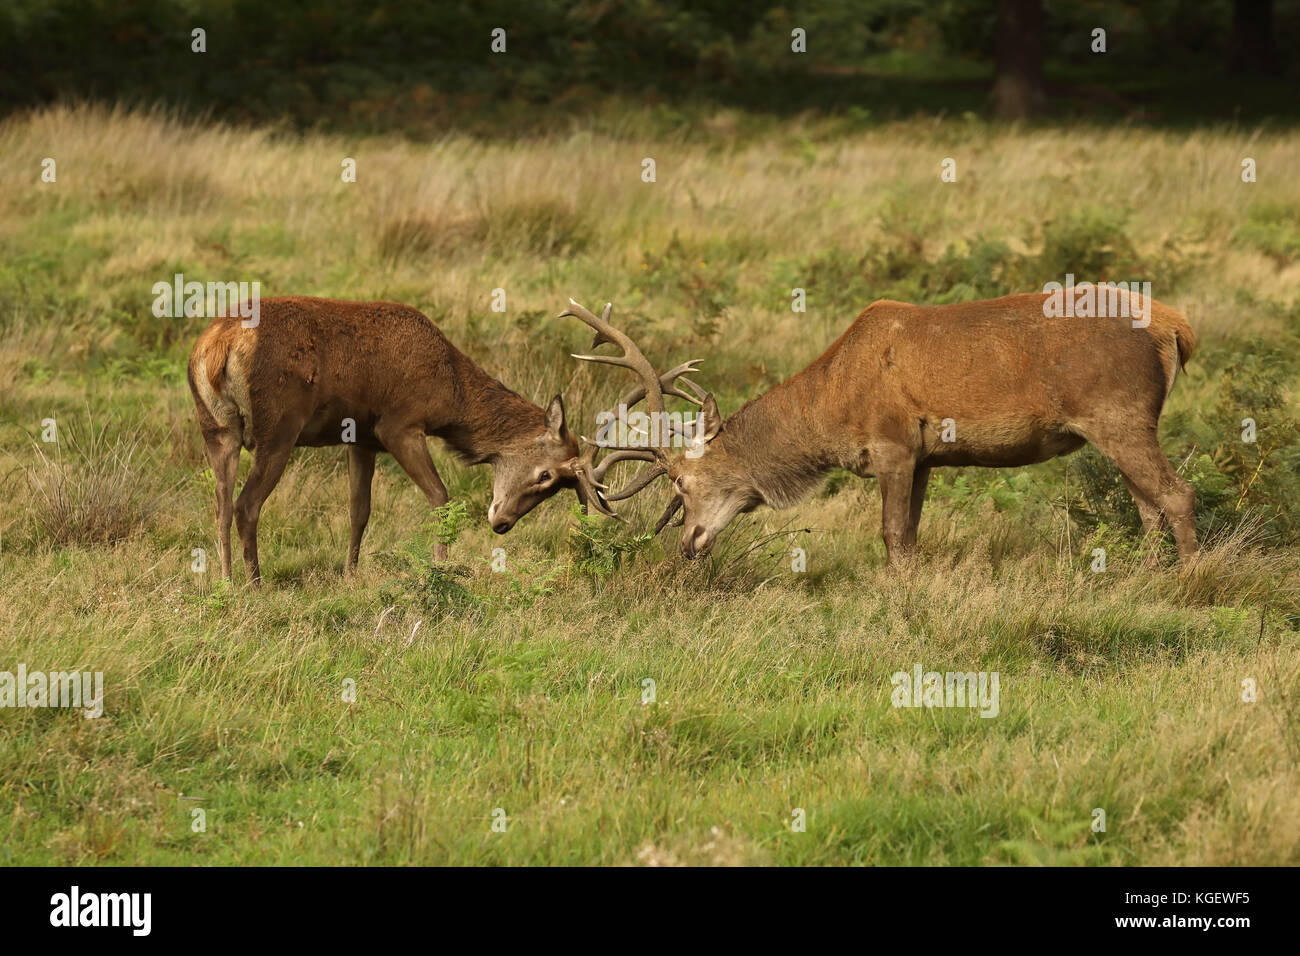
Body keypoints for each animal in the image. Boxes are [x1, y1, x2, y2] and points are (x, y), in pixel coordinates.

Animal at [188, 296, 597, 584]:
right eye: (546, 475)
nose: (502, 523)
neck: (449, 393)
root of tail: (218, 346)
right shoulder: (399, 424)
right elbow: (441, 499)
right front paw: (440, 572)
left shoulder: (361, 438)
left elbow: (359, 510)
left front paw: (350, 576)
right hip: (279, 427)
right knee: (245, 505)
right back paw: (255, 583)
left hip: (215, 428)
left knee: (221, 506)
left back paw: (225, 581)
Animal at [564, 291, 1200, 570]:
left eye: (680, 482)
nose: (688, 543)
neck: (832, 410)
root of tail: (1176, 328)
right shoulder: (925, 457)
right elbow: (912, 535)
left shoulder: (893, 443)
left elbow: (892, 535)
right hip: (1116, 426)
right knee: (1147, 507)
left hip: (1119, 414)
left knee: (1176, 494)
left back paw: (1190, 581)